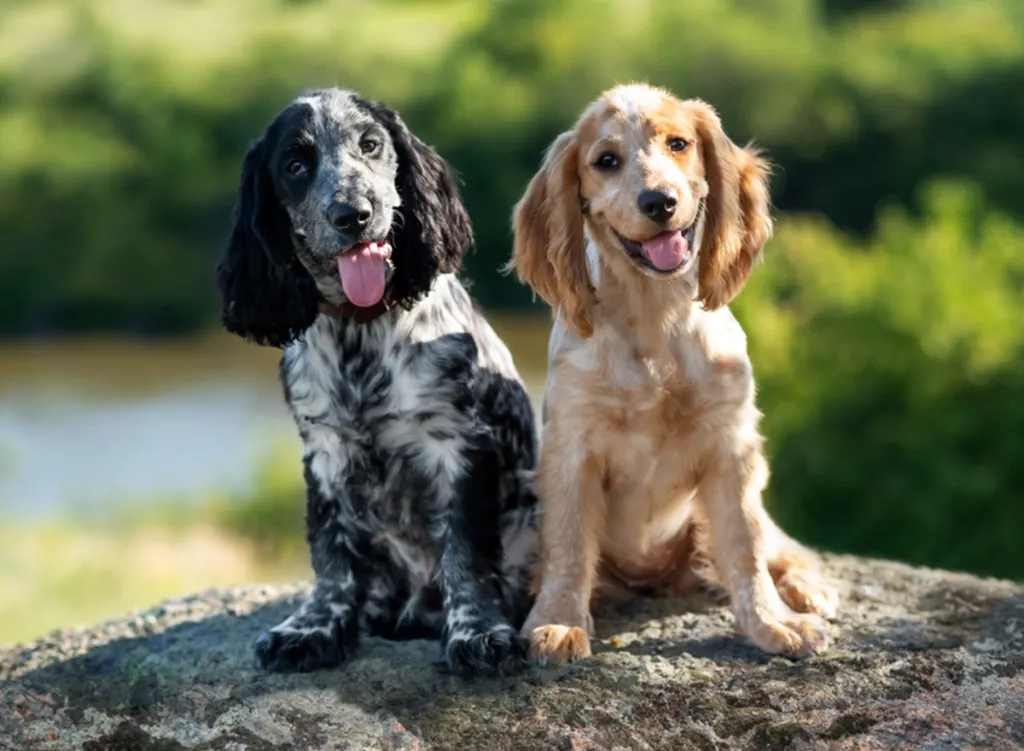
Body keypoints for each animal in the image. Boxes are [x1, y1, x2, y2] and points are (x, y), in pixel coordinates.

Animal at [212, 88, 540, 672]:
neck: (359, 331)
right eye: (295, 165)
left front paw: (479, 633)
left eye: (370, 145)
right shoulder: (325, 452)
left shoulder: (458, 442)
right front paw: (312, 627)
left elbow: (465, 550)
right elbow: (332, 555)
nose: (353, 214)